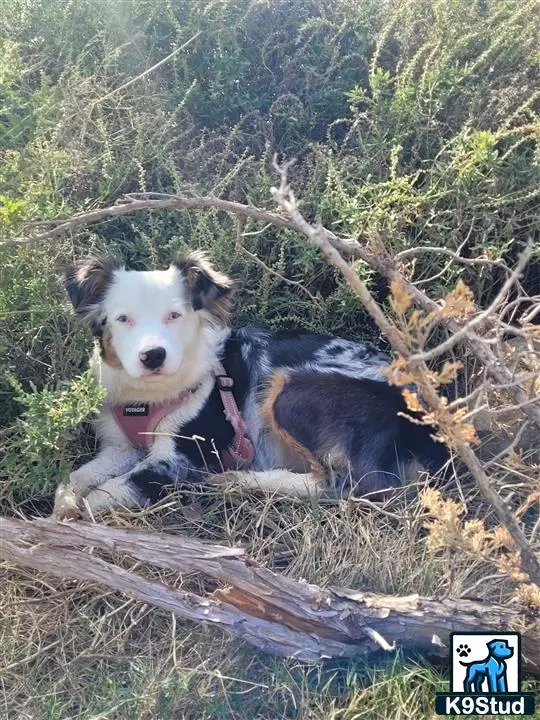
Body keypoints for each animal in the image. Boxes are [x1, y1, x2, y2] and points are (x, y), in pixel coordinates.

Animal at [51, 253, 448, 516]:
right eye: (122, 319)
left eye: (175, 315)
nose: (153, 356)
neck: (146, 399)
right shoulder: (119, 448)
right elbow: (74, 480)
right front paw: (64, 505)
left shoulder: (182, 459)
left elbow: (107, 491)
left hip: (289, 390)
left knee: (339, 485)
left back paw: (242, 482)